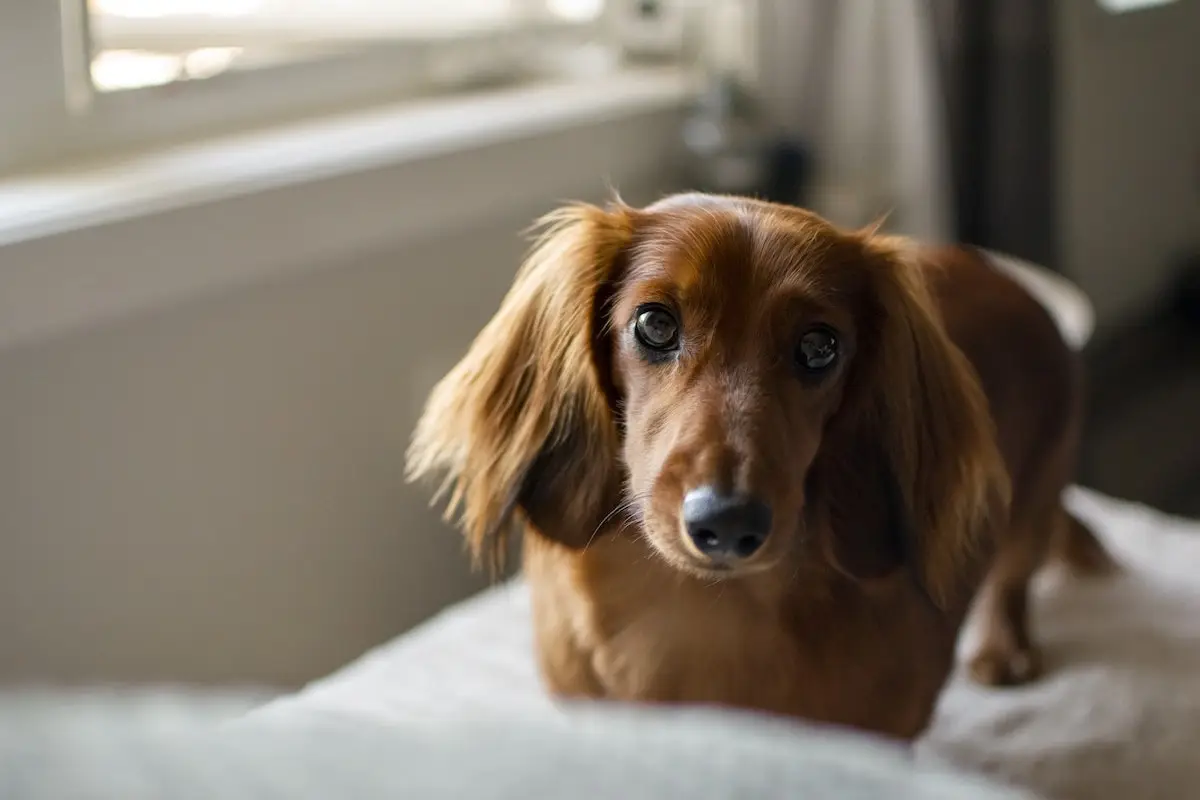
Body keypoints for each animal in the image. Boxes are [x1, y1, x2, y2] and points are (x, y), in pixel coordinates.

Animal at [405, 190, 1113, 743]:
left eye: (820, 346)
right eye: (654, 323)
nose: (727, 522)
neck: (698, 616)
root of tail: (1011, 281)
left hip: (1034, 498)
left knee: (1013, 577)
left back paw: (1003, 648)